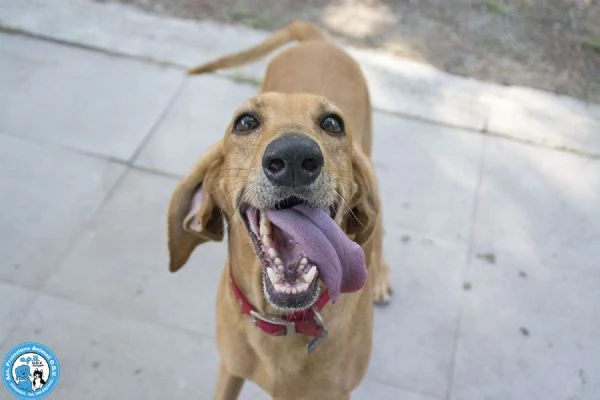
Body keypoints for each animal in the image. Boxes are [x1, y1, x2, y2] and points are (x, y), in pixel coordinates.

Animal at [169, 21, 394, 400]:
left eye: (333, 123)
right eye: (245, 122)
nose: (294, 157)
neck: (285, 321)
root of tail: (316, 39)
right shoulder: (229, 369)